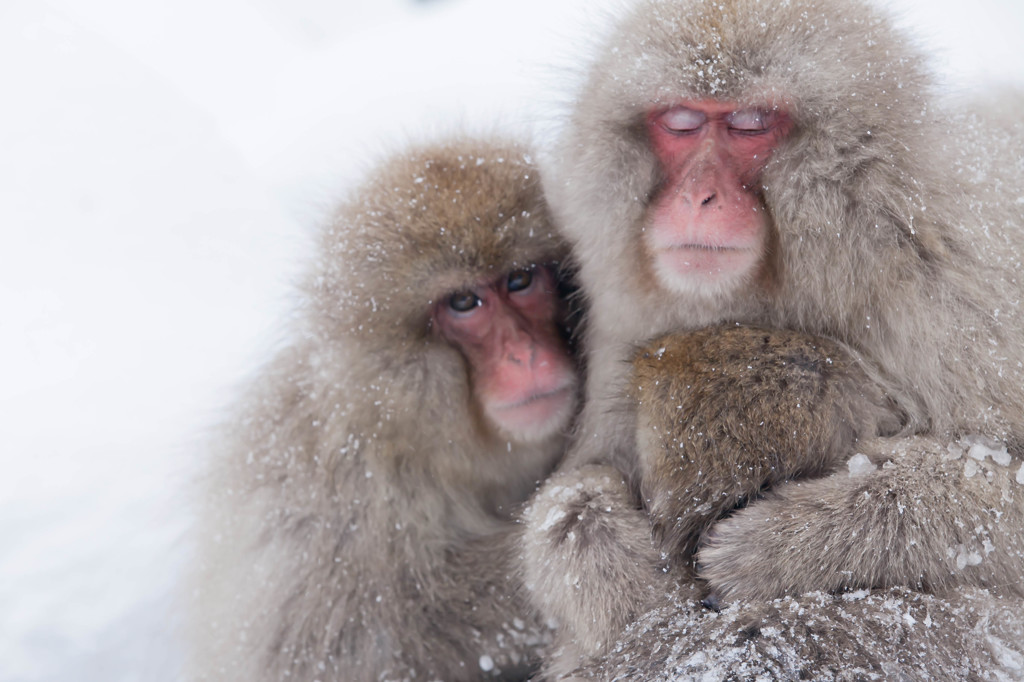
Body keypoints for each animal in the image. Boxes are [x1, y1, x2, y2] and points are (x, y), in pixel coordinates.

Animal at [520, 0, 1024, 675]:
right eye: (680, 123)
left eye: (750, 124)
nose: (697, 197)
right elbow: (583, 475)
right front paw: (609, 568)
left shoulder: (955, 294)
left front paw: (786, 543)